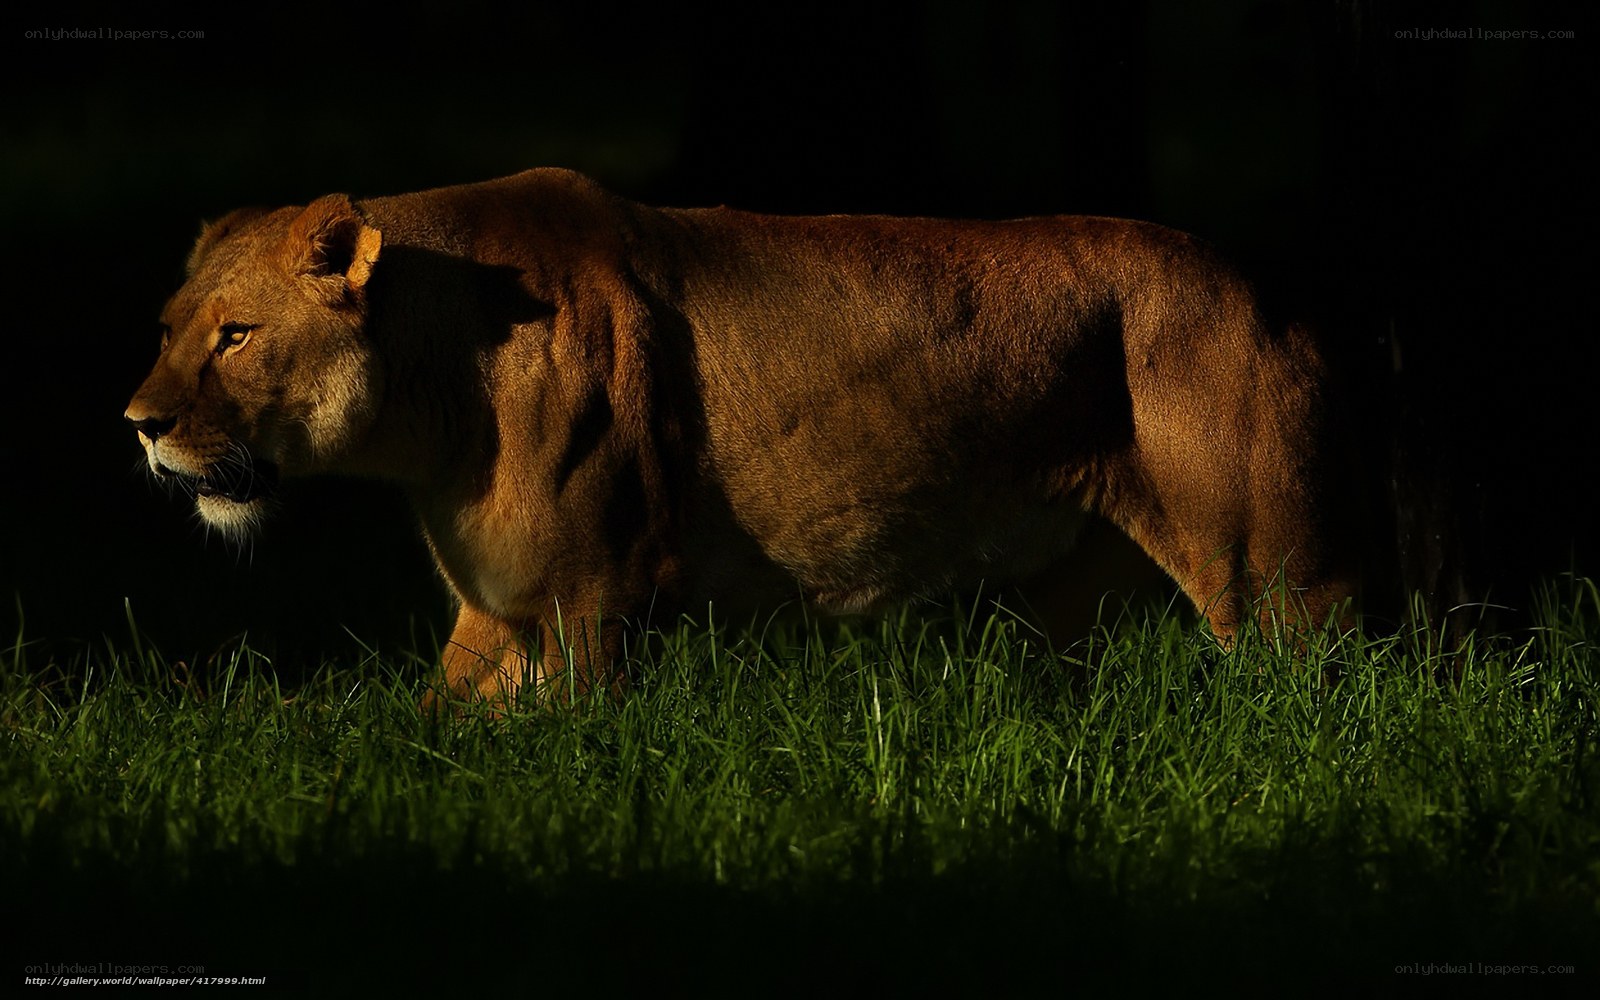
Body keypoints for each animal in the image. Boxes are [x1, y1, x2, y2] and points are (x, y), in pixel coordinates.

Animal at [126, 168, 1358, 704]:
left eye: (236, 335)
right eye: (169, 329)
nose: (139, 427)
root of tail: (1269, 292)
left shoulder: (594, 596)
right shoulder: (499, 604)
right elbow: (426, 732)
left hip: (1276, 575)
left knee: (1338, 692)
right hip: (1076, 605)